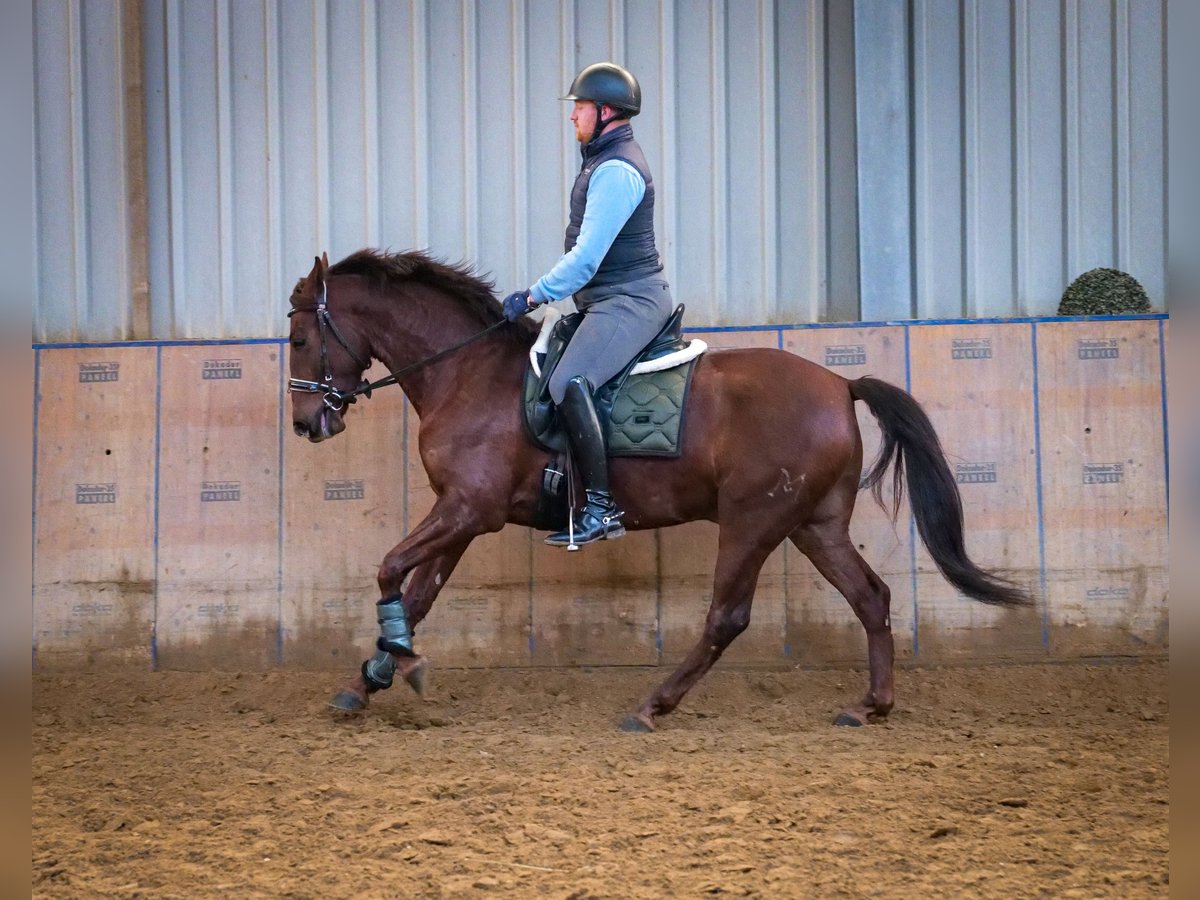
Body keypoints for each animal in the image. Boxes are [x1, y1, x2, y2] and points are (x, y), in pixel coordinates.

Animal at [285, 252, 1027, 734]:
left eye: (297, 337)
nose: (306, 422)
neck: (465, 373)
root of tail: (840, 385)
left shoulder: (468, 510)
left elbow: (389, 569)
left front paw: (398, 665)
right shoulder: (462, 517)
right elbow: (417, 593)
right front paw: (372, 677)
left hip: (754, 520)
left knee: (727, 618)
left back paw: (652, 706)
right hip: (813, 524)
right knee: (871, 597)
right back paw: (870, 705)